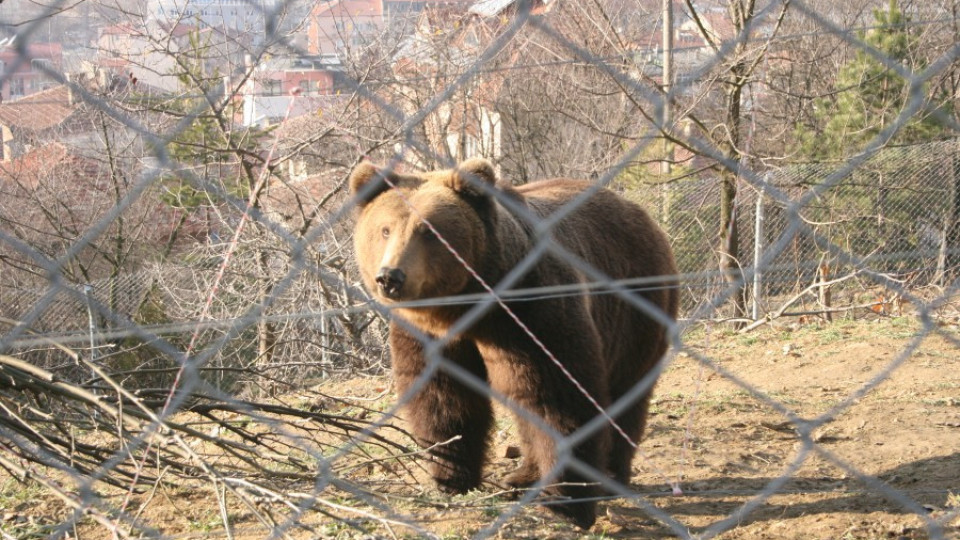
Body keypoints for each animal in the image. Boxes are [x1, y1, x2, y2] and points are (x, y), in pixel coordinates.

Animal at [348, 157, 680, 528]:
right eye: (385, 229)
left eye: (428, 231)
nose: (390, 276)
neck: (467, 309)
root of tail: (641, 214)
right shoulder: (429, 337)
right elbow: (444, 397)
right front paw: (451, 479)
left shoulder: (531, 311)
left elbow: (557, 399)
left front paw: (567, 503)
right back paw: (522, 477)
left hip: (636, 305)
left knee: (626, 390)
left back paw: (609, 475)